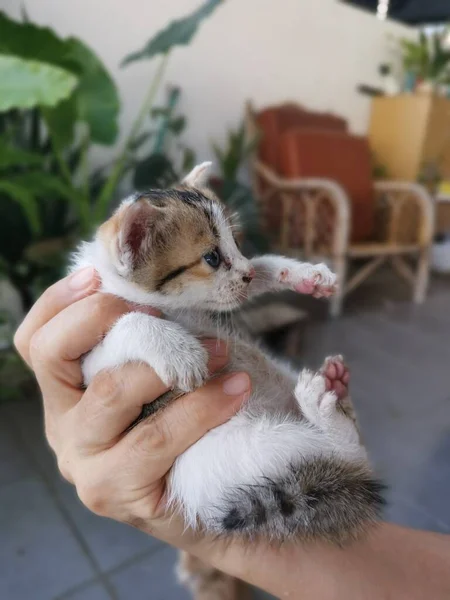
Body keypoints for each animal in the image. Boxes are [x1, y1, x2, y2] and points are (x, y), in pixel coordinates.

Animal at [73, 161, 384, 544]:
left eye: (235, 243)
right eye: (211, 257)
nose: (245, 272)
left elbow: (260, 268)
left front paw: (301, 273)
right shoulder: (89, 363)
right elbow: (127, 323)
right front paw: (180, 351)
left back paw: (335, 388)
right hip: (249, 453)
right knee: (346, 455)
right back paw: (327, 406)